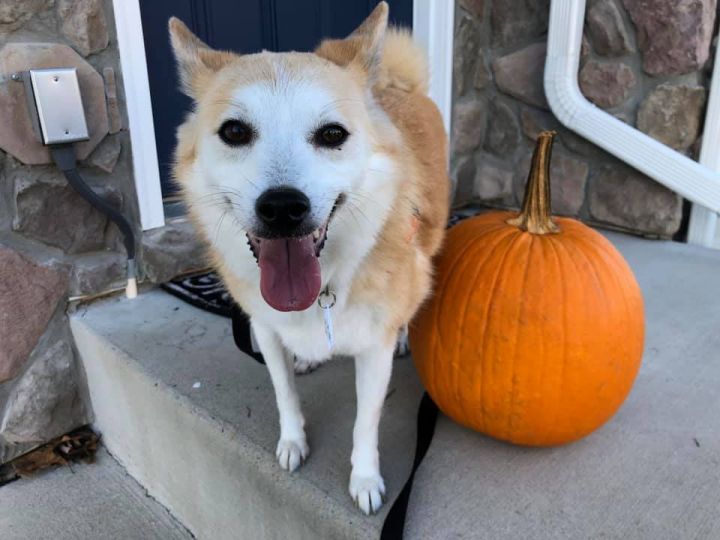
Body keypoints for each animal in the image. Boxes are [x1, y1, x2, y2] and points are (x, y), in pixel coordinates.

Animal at [171, 1, 448, 516]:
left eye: (332, 134)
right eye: (234, 132)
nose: (283, 207)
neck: (323, 289)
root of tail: (395, 86)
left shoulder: (373, 353)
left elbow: (365, 423)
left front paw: (365, 478)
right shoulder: (263, 328)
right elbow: (284, 393)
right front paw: (293, 441)